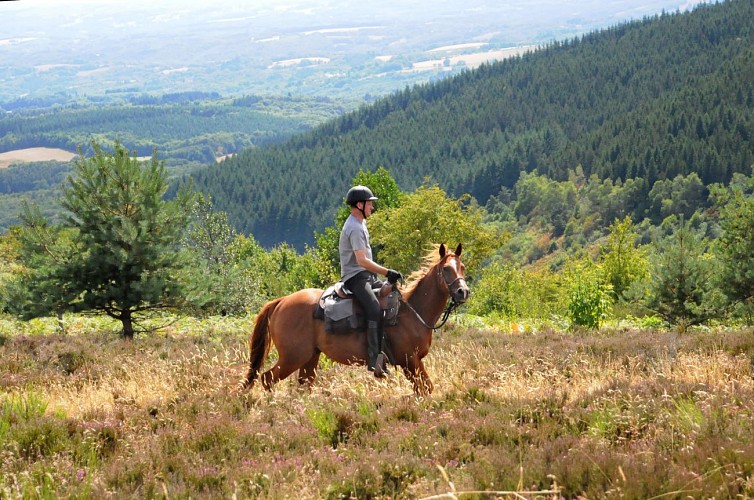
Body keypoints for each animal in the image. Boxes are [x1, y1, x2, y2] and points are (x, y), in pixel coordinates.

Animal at [241, 244, 468, 396]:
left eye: (462, 267)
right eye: (446, 269)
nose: (463, 291)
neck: (412, 312)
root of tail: (281, 302)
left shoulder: (413, 363)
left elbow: (425, 389)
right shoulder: (409, 361)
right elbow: (425, 388)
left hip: (310, 357)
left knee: (303, 385)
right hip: (292, 357)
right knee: (267, 378)